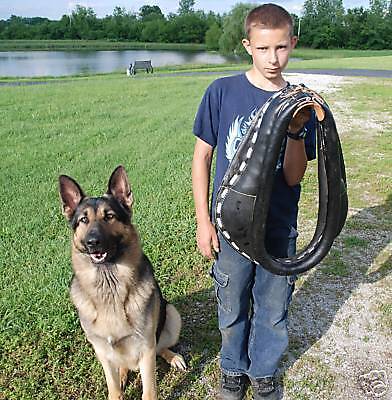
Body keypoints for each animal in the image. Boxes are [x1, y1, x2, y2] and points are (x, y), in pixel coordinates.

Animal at [59, 166, 186, 400]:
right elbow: (114, 388)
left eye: (109, 216)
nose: (92, 242)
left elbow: (149, 392)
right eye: (83, 220)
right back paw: (125, 373)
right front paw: (118, 386)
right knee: (123, 366)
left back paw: (173, 357)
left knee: (160, 346)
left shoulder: (145, 349)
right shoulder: (102, 351)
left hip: (172, 316)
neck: (109, 283)